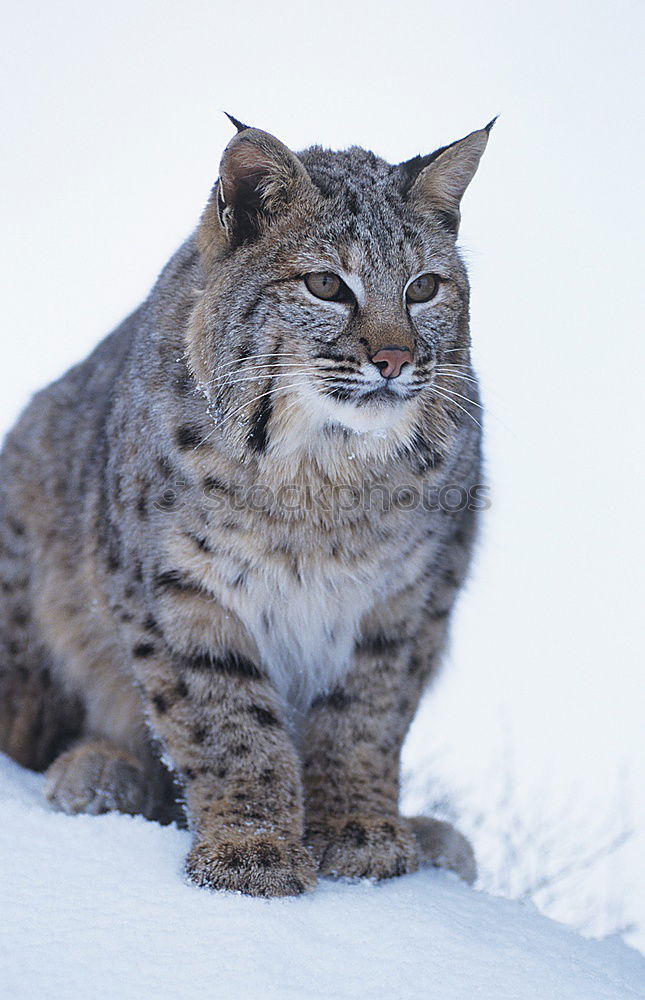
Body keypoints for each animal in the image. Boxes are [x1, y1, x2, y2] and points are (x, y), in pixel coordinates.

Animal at [0, 117, 488, 900]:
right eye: (326, 285)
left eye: (424, 288)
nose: (394, 360)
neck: (323, 471)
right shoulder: (175, 585)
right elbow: (225, 718)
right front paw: (251, 848)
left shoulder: (413, 596)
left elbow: (366, 717)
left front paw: (361, 830)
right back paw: (101, 770)